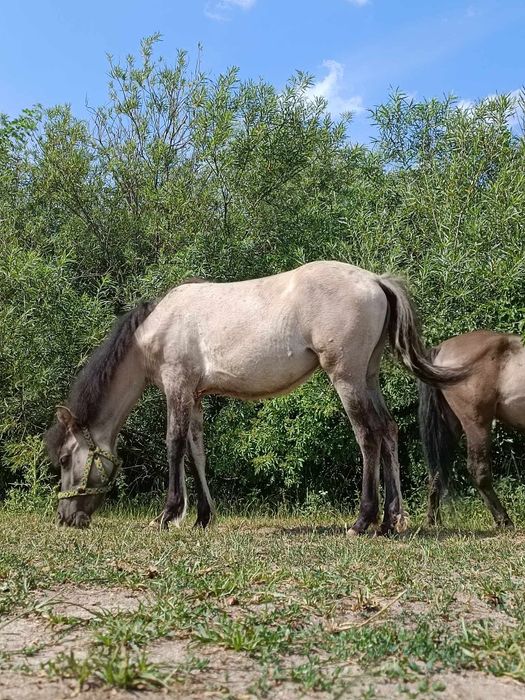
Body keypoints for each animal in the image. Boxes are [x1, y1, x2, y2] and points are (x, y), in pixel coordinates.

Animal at [46, 262, 462, 536]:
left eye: (65, 459)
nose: (66, 517)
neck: (155, 328)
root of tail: (375, 280)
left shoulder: (177, 386)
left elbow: (174, 445)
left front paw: (168, 514)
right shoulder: (195, 396)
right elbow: (197, 452)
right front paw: (202, 517)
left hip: (346, 379)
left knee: (368, 436)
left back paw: (363, 521)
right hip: (368, 377)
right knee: (388, 431)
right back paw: (392, 519)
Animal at [416, 330, 520, 528]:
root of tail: (441, 349)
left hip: (452, 426)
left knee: (436, 471)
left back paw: (433, 521)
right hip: (476, 423)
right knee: (478, 471)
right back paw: (504, 520)